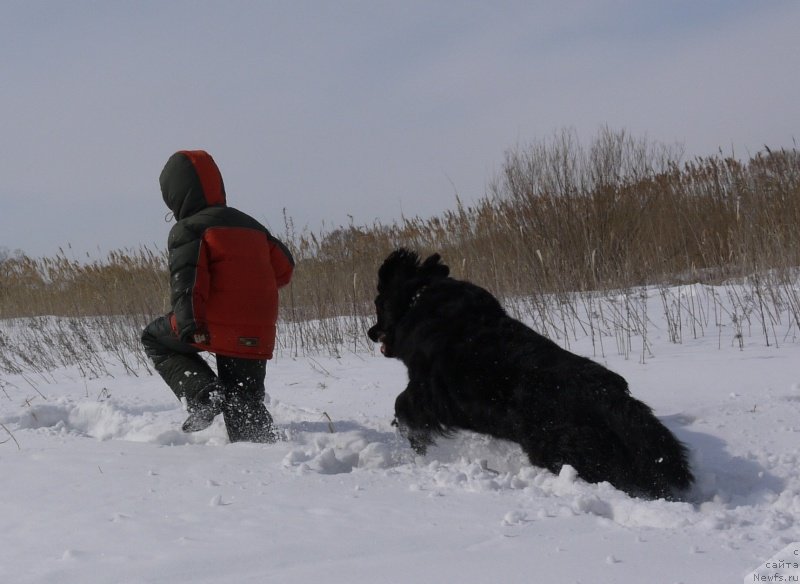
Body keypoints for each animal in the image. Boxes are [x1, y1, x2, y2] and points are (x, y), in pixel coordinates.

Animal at [368, 249, 692, 500]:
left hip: (569, 452)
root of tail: (608, 395)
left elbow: (403, 405)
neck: (418, 299)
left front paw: (412, 440)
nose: (371, 332)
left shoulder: (428, 390)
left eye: (378, 304)